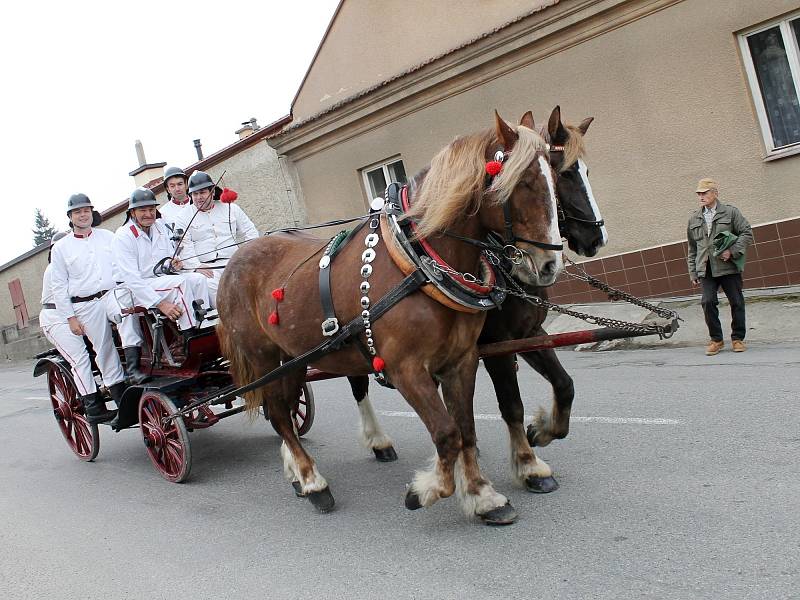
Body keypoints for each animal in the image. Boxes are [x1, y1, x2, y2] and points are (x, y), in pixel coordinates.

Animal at [216, 110, 560, 524]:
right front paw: (427, 490)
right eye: (523, 182)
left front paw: (482, 496)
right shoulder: (405, 368)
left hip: (294, 357)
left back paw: (297, 475)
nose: (549, 264)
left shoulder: (462, 360)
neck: (419, 262)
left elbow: (466, 429)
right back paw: (314, 483)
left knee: (281, 409)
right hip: (263, 357)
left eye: (556, 176)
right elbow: (446, 433)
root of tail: (234, 258)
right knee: (280, 415)